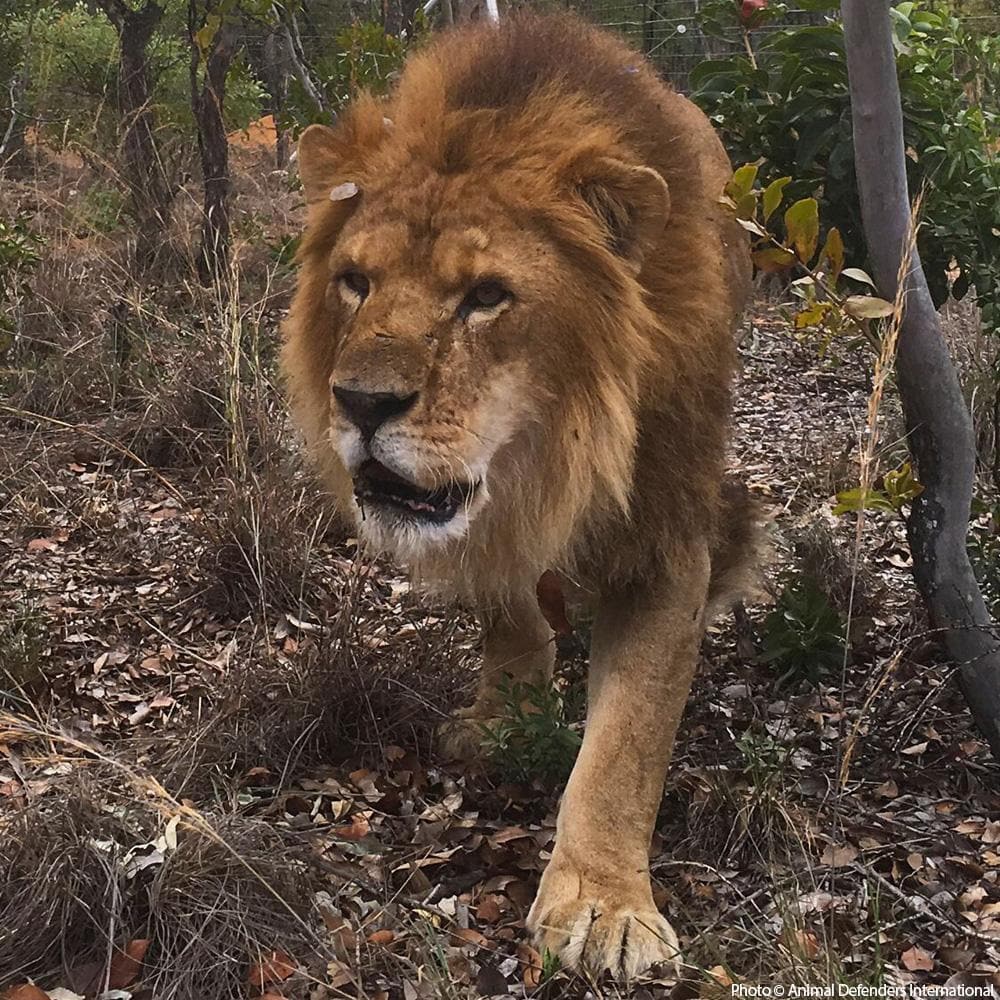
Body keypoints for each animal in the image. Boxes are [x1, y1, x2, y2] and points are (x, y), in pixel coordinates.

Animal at [282, 12, 753, 980]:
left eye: (487, 296)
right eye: (356, 281)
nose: (363, 403)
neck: (549, 453)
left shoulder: (663, 536)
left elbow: (627, 738)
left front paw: (605, 903)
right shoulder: (484, 514)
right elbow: (506, 609)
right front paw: (509, 714)